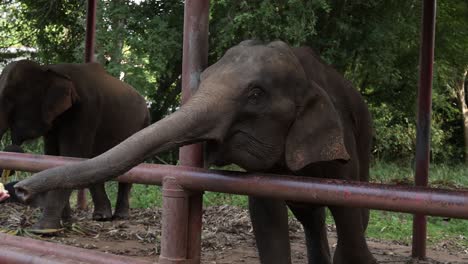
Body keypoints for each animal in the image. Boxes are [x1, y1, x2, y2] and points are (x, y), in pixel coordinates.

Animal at [0, 60, 150, 230]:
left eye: (9, 98)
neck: (52, 70)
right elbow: (52, 156)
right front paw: (65, 221)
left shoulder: (86, 110)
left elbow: (71, 156)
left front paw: (44, 229)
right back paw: (101, 217)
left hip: (141, 126)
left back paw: (120, 216)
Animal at [15, 40, 376, 262]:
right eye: (203, 78)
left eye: (256, 94)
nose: (17, 189)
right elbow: (266, 216)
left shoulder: (342, 137)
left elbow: (349, 214)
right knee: (310, 216)